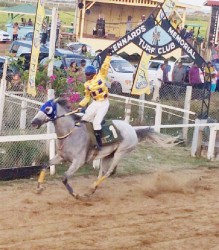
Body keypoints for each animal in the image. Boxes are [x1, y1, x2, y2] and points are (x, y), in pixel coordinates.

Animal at [32, 98, 173, 198]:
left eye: (48, 108)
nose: (34, 122)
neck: (71, 133)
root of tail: (133, 130)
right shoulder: (61, 156)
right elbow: (45, 165)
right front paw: (39, 188)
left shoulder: (78, 161)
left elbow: (65, 178)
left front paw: (75, 194)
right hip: (108, 155)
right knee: (103, 172)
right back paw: (91, 190)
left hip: (121, 152)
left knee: (110, 172)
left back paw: (90, 189)